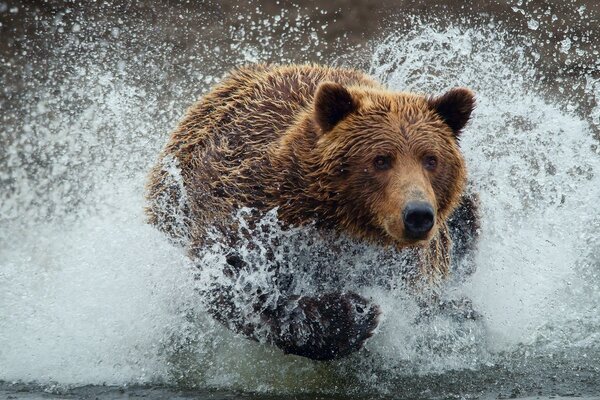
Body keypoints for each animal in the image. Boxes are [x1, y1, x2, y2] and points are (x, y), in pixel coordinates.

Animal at [148, 64, 480, 360]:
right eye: (381, 159)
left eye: (431, 159)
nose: (418, 215)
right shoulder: (251, 208)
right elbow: (235, 281)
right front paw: (352, 313)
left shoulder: (409, 262)